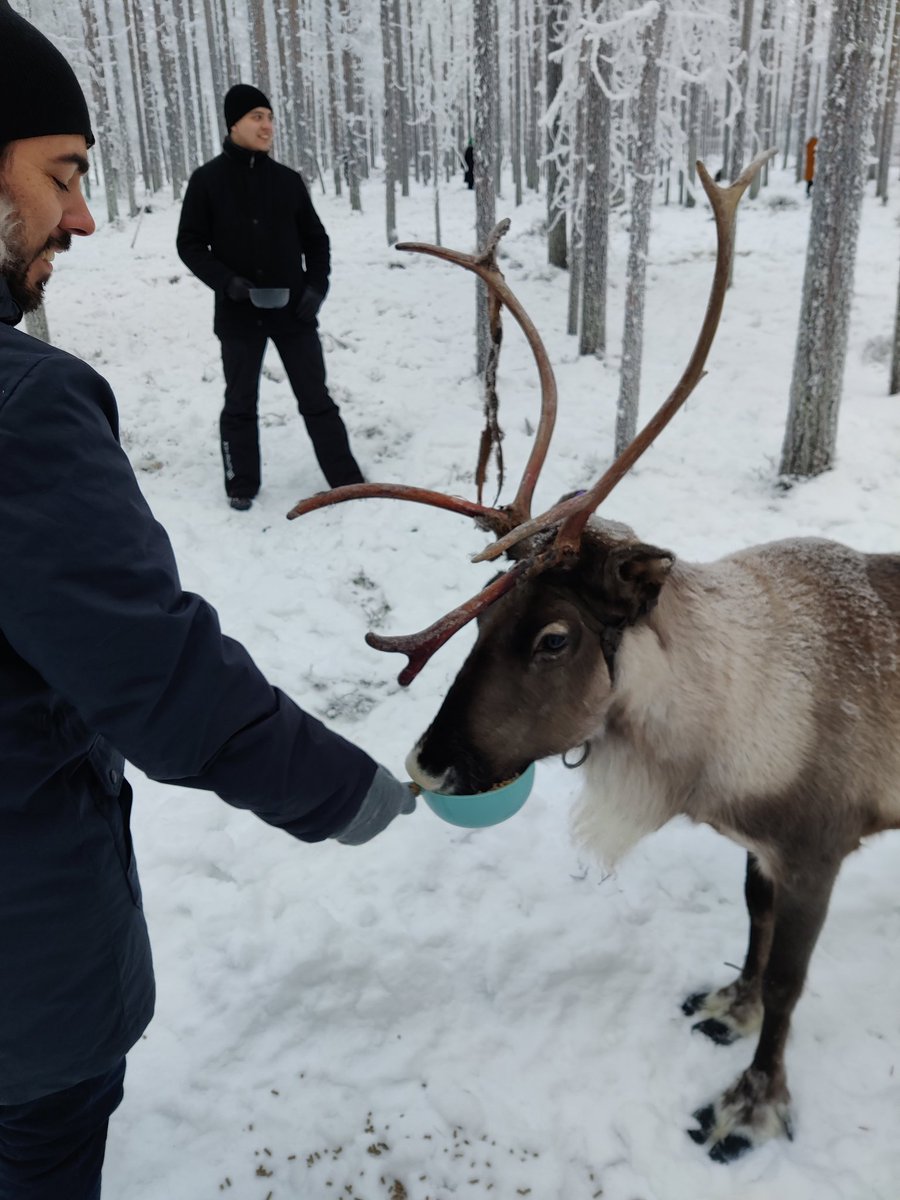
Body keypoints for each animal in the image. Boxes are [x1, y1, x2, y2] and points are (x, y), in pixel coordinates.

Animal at [286, 151, 900, 1163]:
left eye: (554, 637)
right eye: (481, 623)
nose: (429, 761)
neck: (724, 731)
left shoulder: (819, 845)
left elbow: (789, 981)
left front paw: (751, 1105)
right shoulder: (761, 851)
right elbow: (753, 928)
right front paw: (727, 1004)